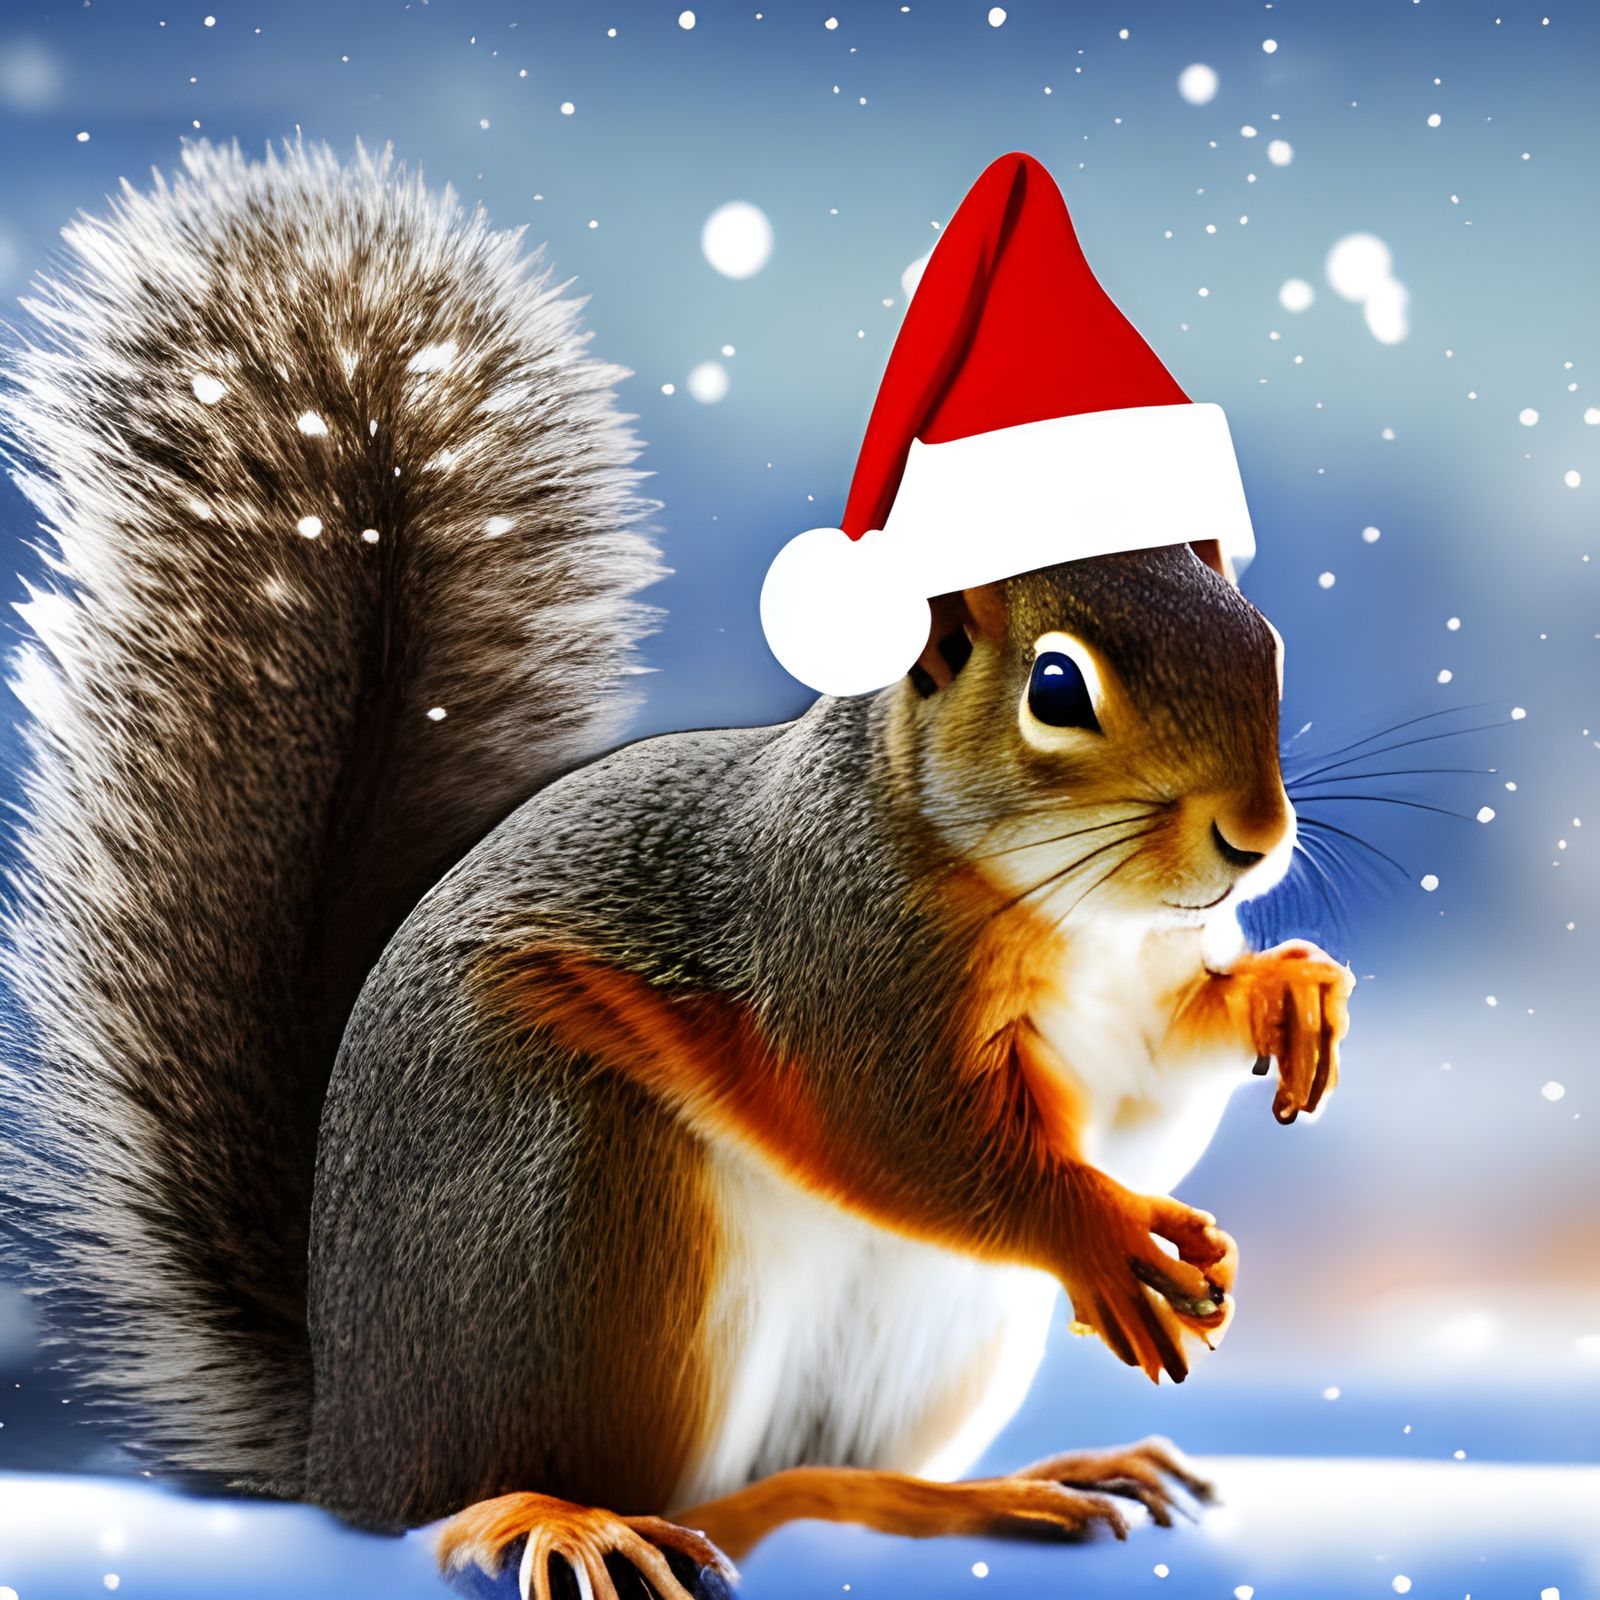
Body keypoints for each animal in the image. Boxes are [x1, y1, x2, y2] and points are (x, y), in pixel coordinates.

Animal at [0, 142, 1353, 1600]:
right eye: (1058, 689)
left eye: (1264, 641)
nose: (1252, 838)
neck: (1082, 911)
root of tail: (347, 1447)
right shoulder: (836, 955)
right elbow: (906, 1133)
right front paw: (1103, 1237)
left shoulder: (1132, 1004)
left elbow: (1154, 1082)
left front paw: (1289, 994)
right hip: (576, 1219)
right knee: (493, 1495)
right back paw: (560, 1519)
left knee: (776, 1495)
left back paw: (987, 1493)